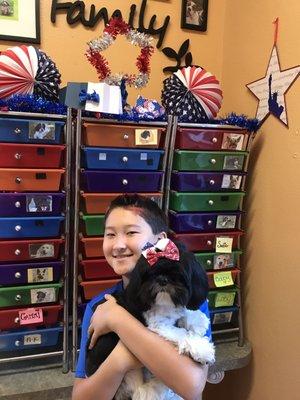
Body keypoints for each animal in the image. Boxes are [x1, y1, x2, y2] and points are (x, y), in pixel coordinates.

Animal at [85, 239, 214, 398]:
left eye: (177, 274)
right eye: (151, 274)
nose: (163, 279)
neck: (164, 304)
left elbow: (183, 313)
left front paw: (198, 320)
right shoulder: (158, 324)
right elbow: (181, 333)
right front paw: (202, 349)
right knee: (141, 390)